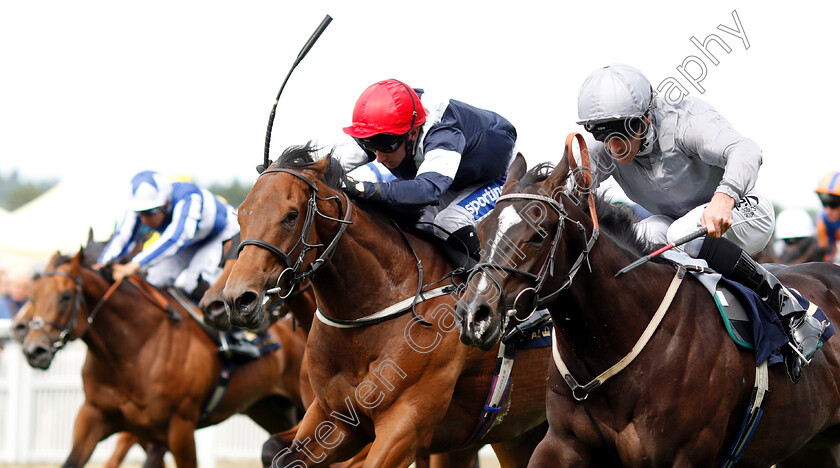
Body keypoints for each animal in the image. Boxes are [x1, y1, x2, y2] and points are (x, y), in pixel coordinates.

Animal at [24, 247, 310, 466]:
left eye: (65, 296)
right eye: (33, 295)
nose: (33, 350)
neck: (134, 351)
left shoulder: (179, 429)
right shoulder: (94, 417)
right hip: (270, 409)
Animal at [223, 144, 552, 466]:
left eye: (291, 216)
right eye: (242, 215)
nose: (237, 300)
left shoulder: (404, 426)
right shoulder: (334, 418)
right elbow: (279, 455)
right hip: (516, 434)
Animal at [456, 153, 840, 464]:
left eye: (537, 234)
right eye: (480, 229)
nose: (474, 314)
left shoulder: (685, 454)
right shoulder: (562, 442)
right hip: (810, 446)